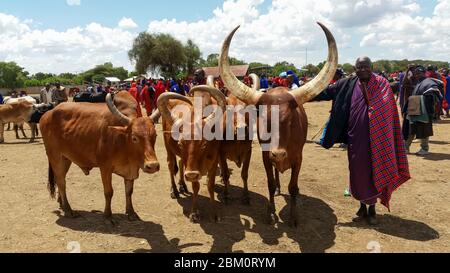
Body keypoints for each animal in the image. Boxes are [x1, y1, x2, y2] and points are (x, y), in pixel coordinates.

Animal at [39, 91, 161, 223]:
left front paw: (131, 213)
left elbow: (129, 192)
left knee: (59, 179)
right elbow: (109, 192)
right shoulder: (105, 167)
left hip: (65, 159)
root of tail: (47, 114)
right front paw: (108, 216)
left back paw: (61, 203)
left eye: (155, 135)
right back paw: (68, 210)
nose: (153, 166)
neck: (122, 139)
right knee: (61, 182)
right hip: (54, 156)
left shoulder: (130, 171)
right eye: (134, 138)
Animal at [220, 22, 340, 225]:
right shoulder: (265, 157)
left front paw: (293, 217)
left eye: (290, 121)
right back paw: (277, 187)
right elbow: (269, 183)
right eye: (263, 120)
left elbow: (292, 186)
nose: (279, 154)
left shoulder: (298, 158)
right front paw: (270, 212)